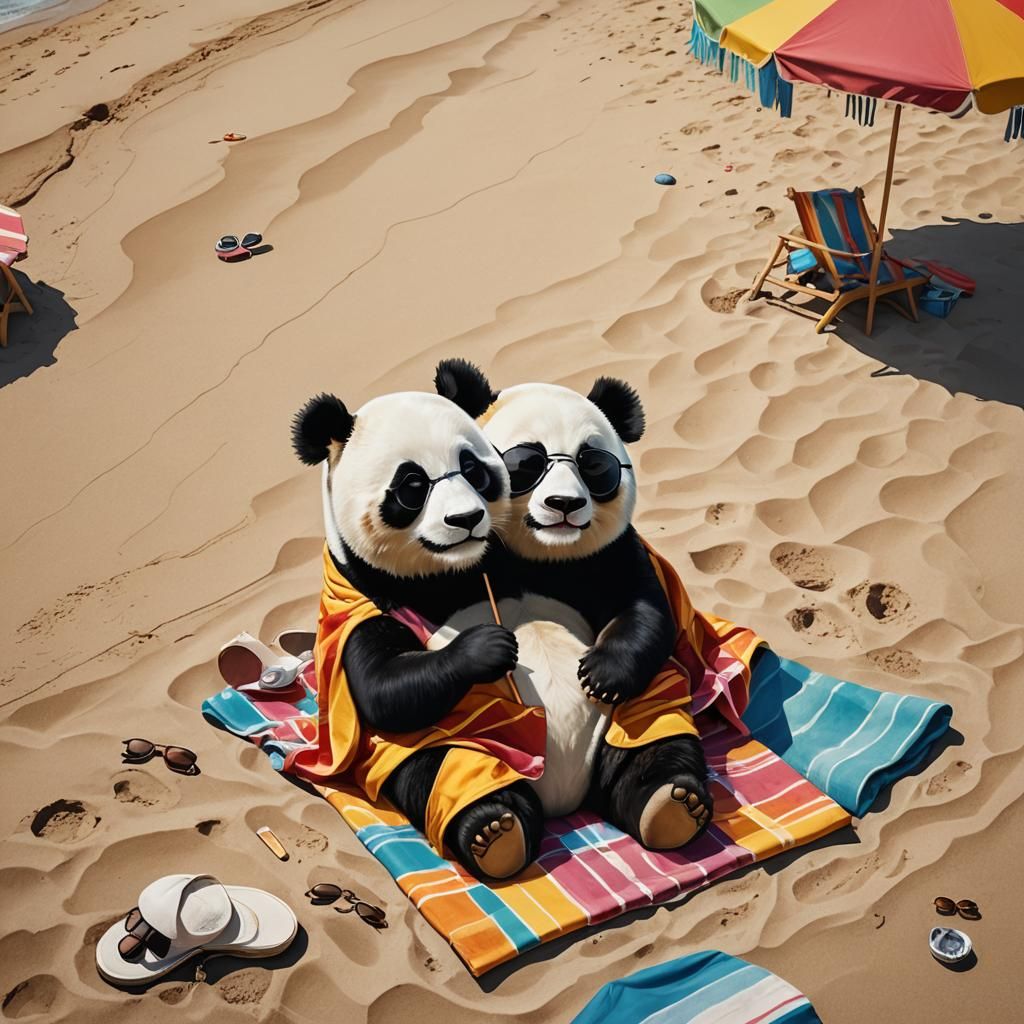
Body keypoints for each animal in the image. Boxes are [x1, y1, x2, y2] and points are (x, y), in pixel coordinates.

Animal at [291, 389, 546, 881]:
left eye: (473, 469)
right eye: (412, 485)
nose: (466, 518)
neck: (444, 576)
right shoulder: (359, 605)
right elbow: (383, 690)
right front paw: (486, 647)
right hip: (427, 749)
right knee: (447, 768)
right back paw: (492, 830)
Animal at [434, 359, 713, 851]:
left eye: (593, 464)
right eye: (525, 462)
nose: (564, 503)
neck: (545, 554)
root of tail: (563, 800)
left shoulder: (612, 553)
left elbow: (644, 609)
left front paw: (602, 675)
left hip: (627, 719)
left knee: (651, 741)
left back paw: (671, 804)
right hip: (475, 738)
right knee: (449, 764)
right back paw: (491, 828)